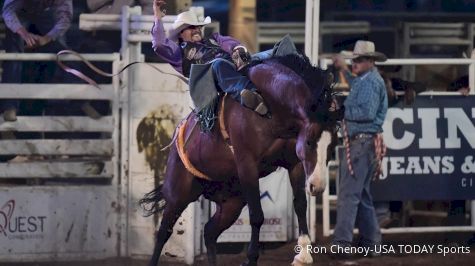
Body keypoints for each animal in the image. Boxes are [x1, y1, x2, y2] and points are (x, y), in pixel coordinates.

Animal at [139, 54, 340, 266]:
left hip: (231, 203)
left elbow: (300, 204)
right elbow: (257, 216)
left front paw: (303, 255)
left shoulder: (294, 164)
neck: (272, 109)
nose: (318, 186)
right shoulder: (247, 163)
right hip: (179, 193)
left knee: (209, 232)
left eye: (333, 145)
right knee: (164, 231)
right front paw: (251, 259)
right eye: (309, 142)